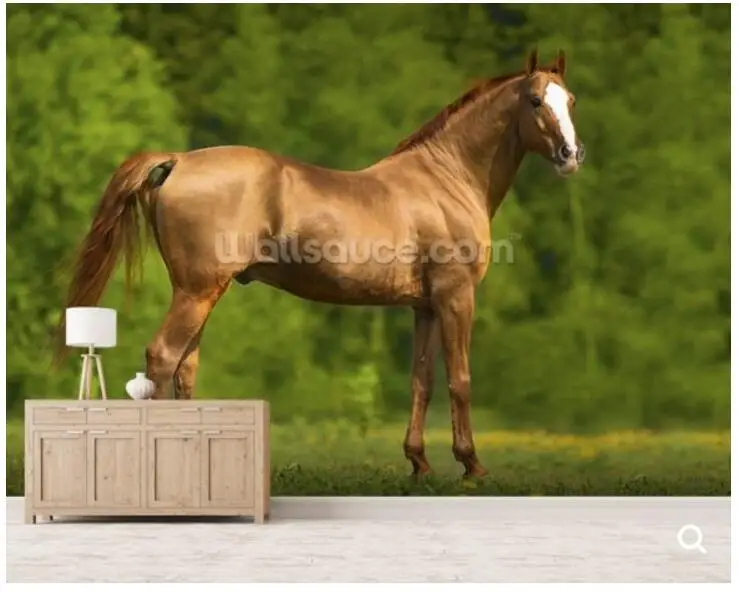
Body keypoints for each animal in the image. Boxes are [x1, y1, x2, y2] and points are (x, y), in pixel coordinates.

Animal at [55, 48, 585, 478]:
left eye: (571, 100)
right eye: (535, 101)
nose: (571, 154)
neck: (445, 180)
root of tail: (180, 160)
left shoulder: (425, 306)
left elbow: (422, 380)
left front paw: (419, 463)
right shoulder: (457, 298)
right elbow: (460, 379)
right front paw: (471, 464)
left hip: (200, 293)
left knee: (185, 366)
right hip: (197, 291)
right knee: (163, 357)